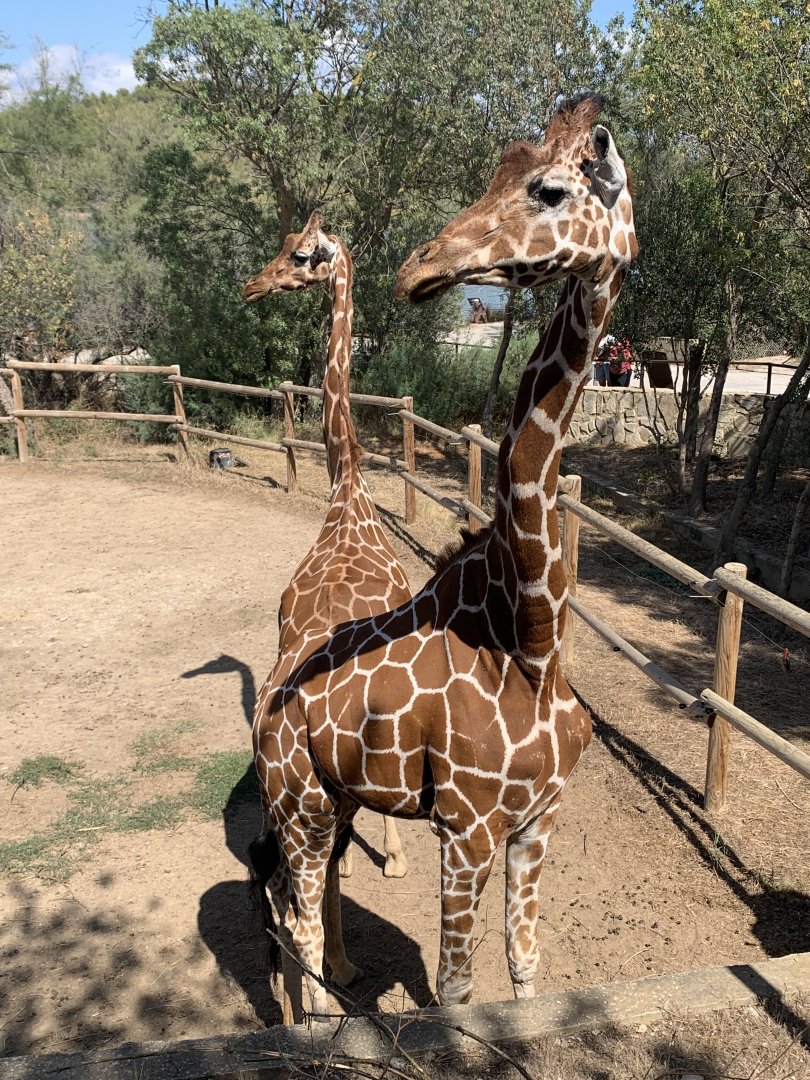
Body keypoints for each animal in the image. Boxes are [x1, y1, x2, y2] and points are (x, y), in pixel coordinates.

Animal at [250, 94, 638, 1020]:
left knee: (296, 900)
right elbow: (457, 988)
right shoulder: (466, 825)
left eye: (548, 187)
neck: (530, 637)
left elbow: (524, 964)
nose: (418, 268)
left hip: (326, 803)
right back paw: (315, 1018)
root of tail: (265, 715)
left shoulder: (539, 818)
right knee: (298, 911)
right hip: (303, 804)